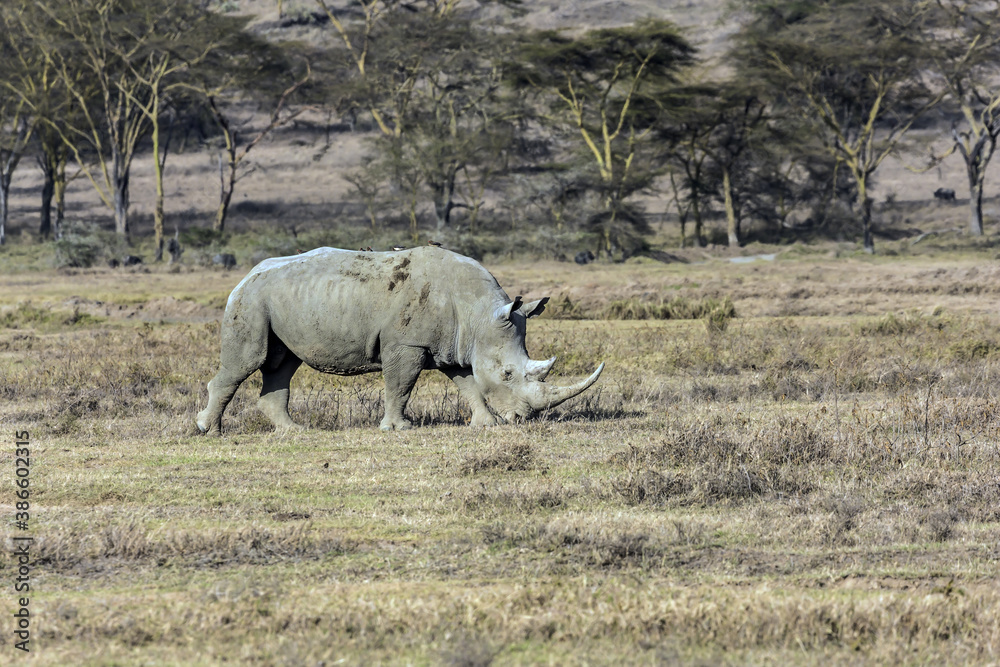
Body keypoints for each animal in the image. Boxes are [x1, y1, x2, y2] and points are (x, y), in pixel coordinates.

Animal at [196, 246, 604, 434]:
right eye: (507, 374)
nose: (523, 419)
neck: (478, 313)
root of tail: (246, 275)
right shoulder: (407, 344)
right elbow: (401, 385)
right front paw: (398, 429)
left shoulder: (454, 344)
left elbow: (468, 383)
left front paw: (485, 424)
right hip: (252, 301)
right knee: (247, 362)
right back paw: (209, 430)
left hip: (280, 301)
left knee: (283, 363)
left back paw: (294, 431)